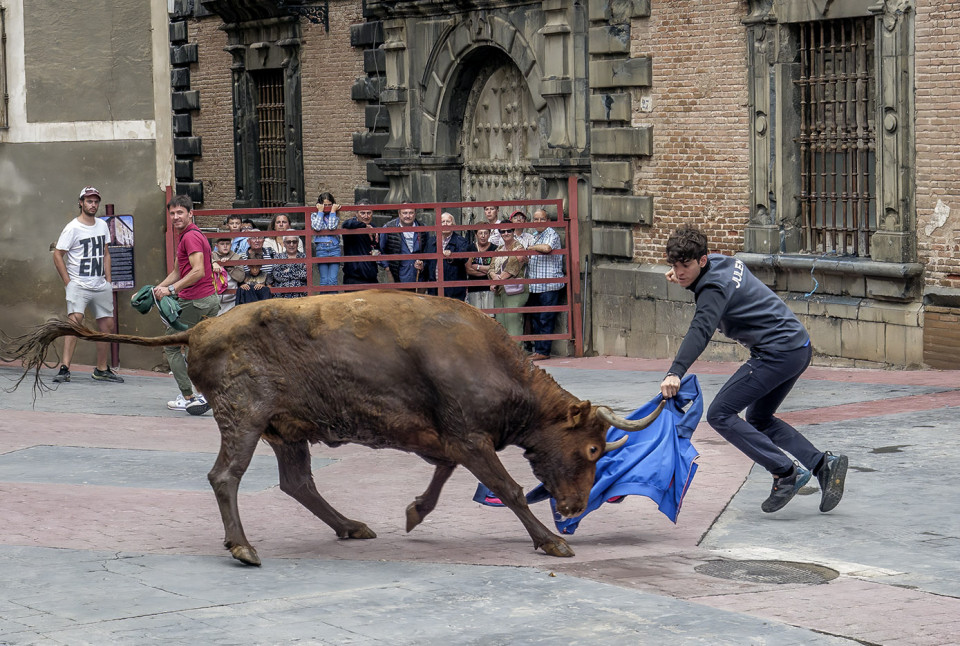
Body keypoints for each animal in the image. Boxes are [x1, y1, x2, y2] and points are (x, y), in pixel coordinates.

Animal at [7, 290, 662, 566]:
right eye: (595, 446)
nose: (573, 508)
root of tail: (200, 328)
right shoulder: (472, 438)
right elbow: (507, 487)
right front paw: (552, 541)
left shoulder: (450, 438)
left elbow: (444, 474)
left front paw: (413, 513)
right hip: (245, 421)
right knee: (226, 476)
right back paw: (243, 547)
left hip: (286, 430)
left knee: (297, 482)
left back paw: (350, 526)